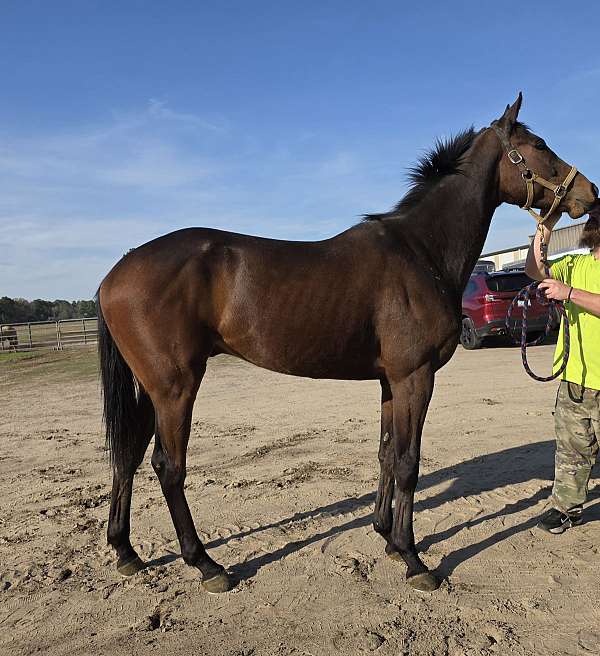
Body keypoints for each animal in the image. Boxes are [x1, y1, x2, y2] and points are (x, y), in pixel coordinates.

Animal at [97, 94, 597, 593]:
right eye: (539, 145)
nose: (589, 193)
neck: (421, 251)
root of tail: (116, 272)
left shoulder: (391, 381)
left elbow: (387, 453)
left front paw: (388, 538)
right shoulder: (415, 377)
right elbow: (409, 462)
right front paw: (413, 558)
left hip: (152, 389)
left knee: (128, 454)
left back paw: (126, 552)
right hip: (176, 387)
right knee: (168, 466)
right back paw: (204, 563)